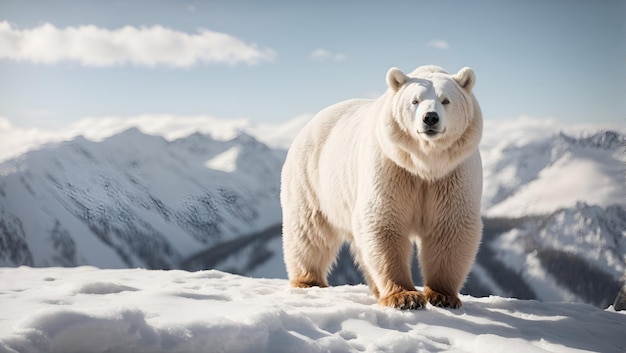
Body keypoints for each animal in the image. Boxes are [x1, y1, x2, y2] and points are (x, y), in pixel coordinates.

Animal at [280, 64, 480, 306]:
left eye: (445, 100)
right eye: (415, 100)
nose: (430, 118)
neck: (425, 165)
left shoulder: (452, 175)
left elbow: (449, 227)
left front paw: (442, 295)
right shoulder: (391, 168)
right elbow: (384, 221)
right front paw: (404, 297)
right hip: (311, 178)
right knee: (310, 230)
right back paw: (308, 281)